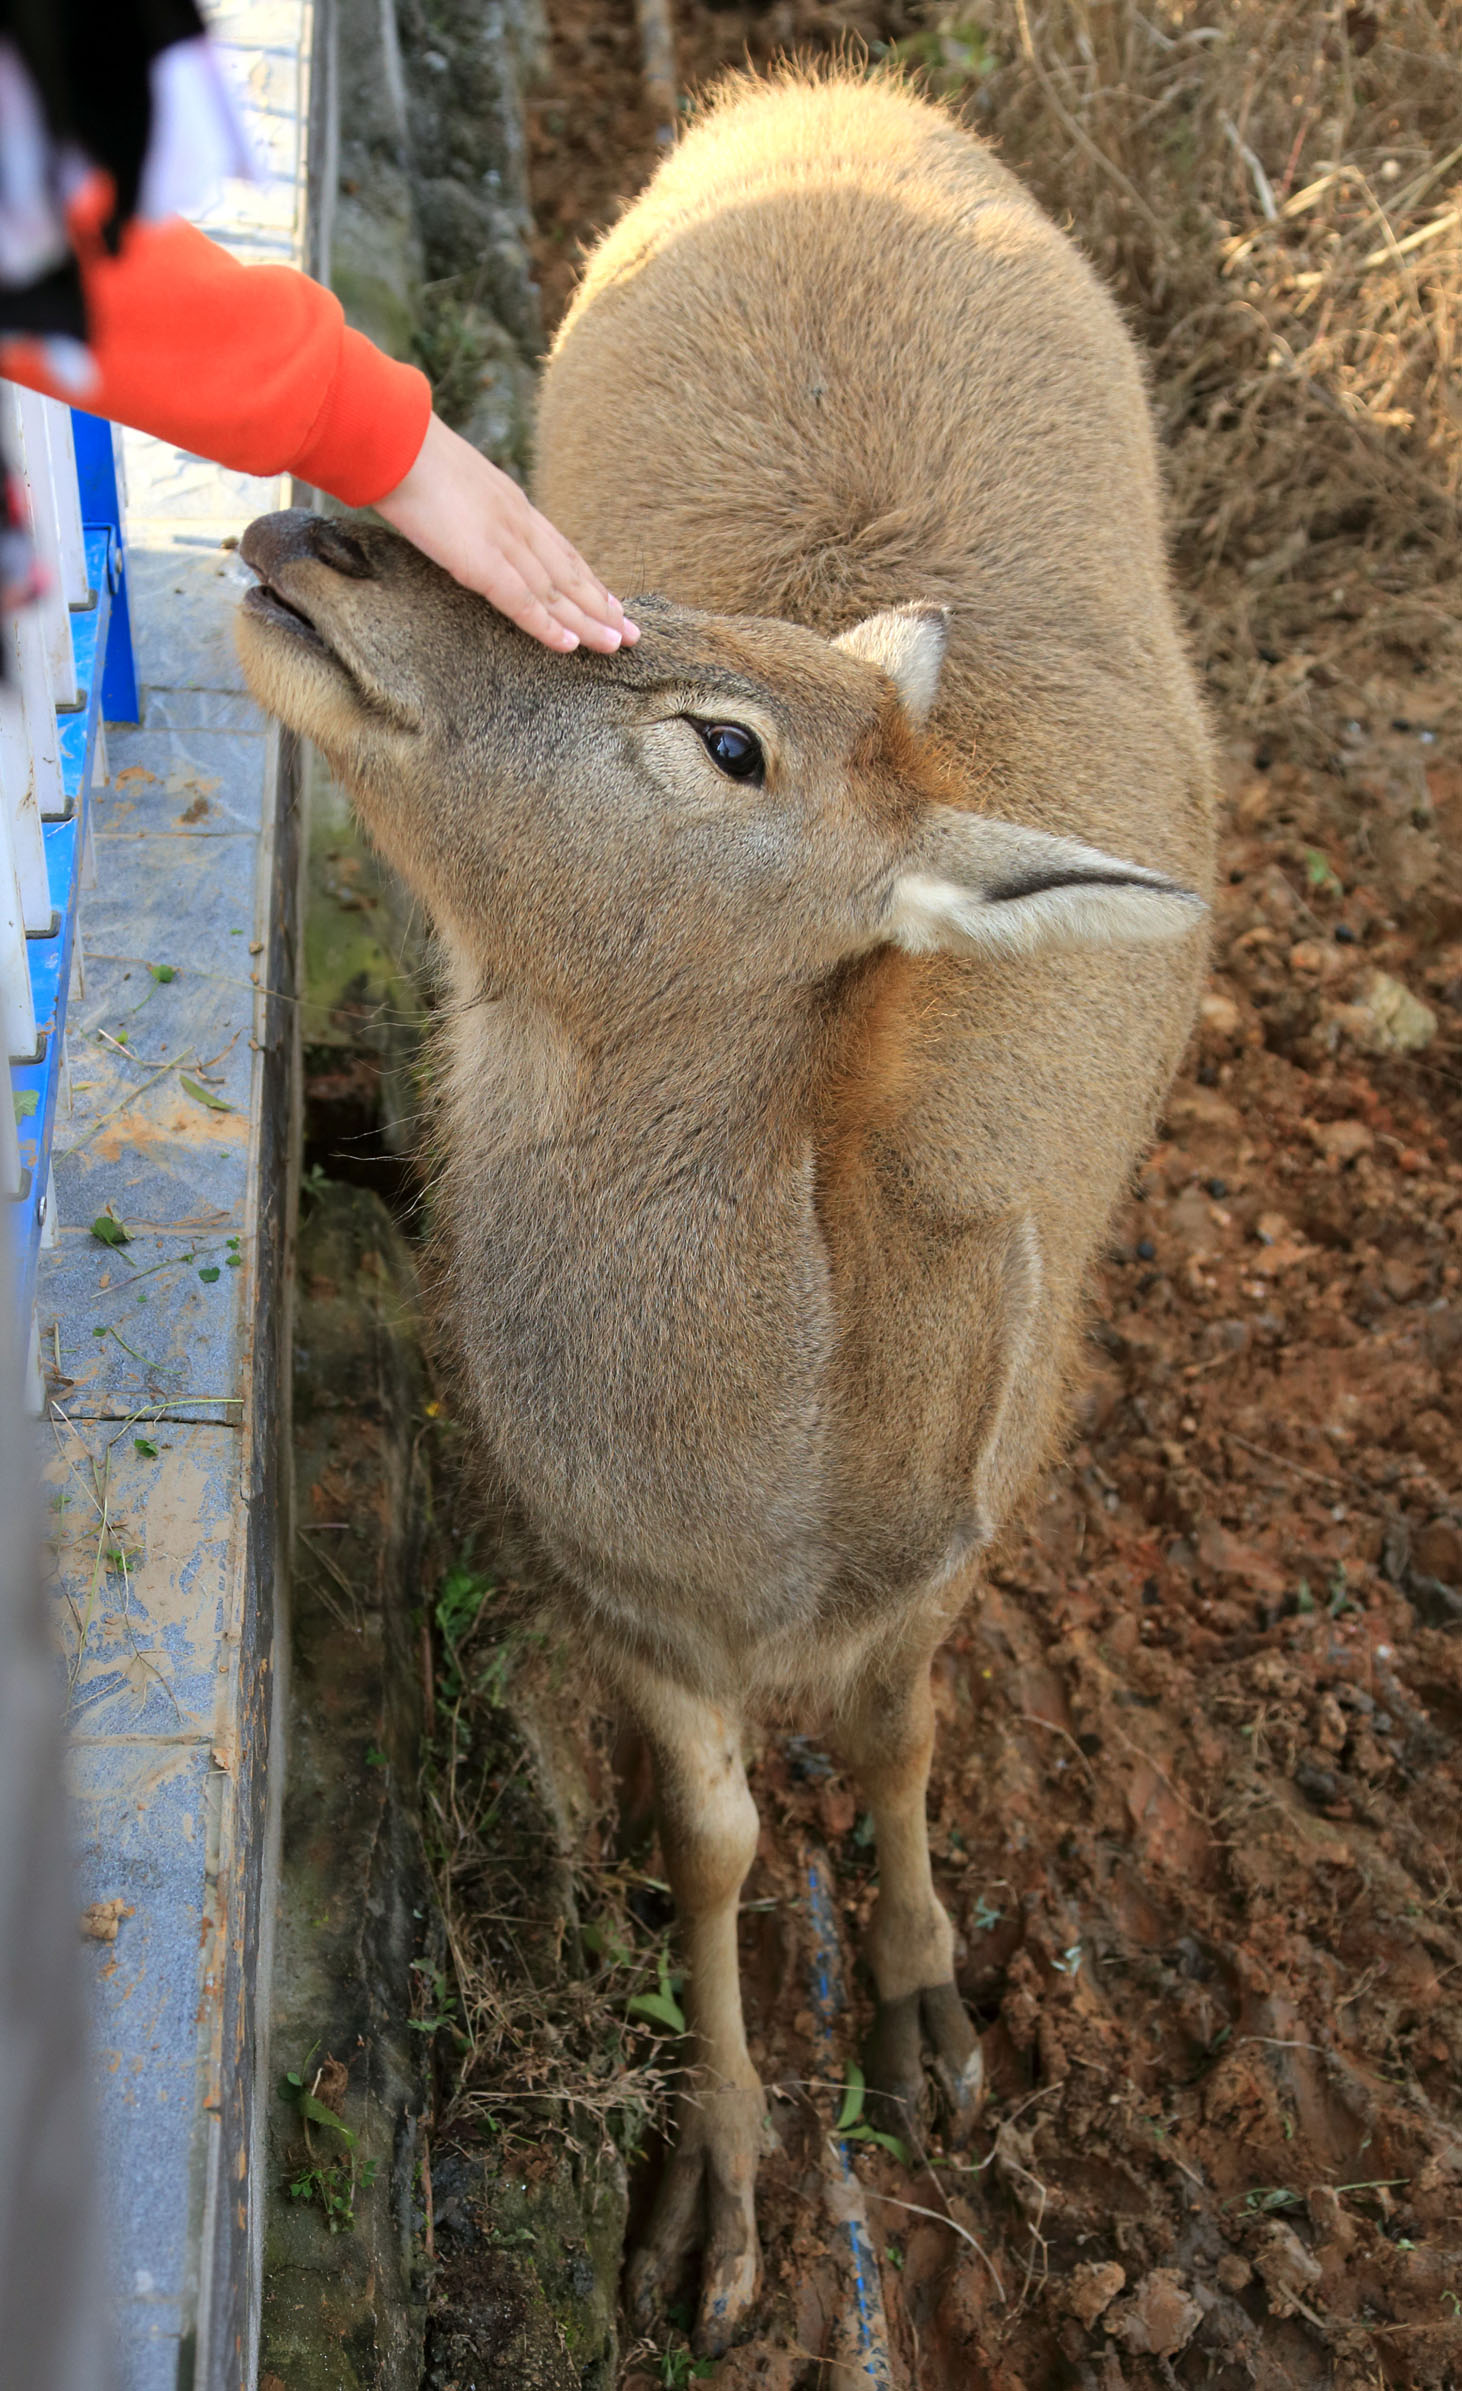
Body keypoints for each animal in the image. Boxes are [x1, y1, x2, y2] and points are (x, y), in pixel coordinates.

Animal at [240, 65, 1220, 2362]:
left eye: (722, 737)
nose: (322, 529)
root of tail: (828, 82)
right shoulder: (619, 1596)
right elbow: (705, 1839)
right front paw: (715, 2205)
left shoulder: (981, 1496)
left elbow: (906, 1718)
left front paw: (932, 2014)